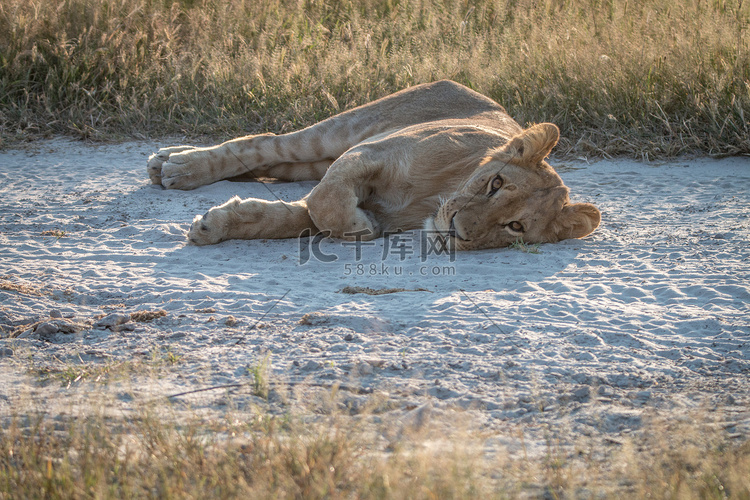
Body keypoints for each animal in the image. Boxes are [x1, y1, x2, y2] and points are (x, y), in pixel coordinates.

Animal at [148, 80, 600, 252]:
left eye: (515, 226)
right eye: (494, 183)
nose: (455, 230)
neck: (434, 198)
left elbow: (292, 217)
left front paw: (214, 225)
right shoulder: (369, 152)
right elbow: (327, 204)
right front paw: (358, 227)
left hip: (315, 161)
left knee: (275, 165)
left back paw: (167, 160)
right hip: (339, 132)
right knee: (264, 144)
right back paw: (176, 166)